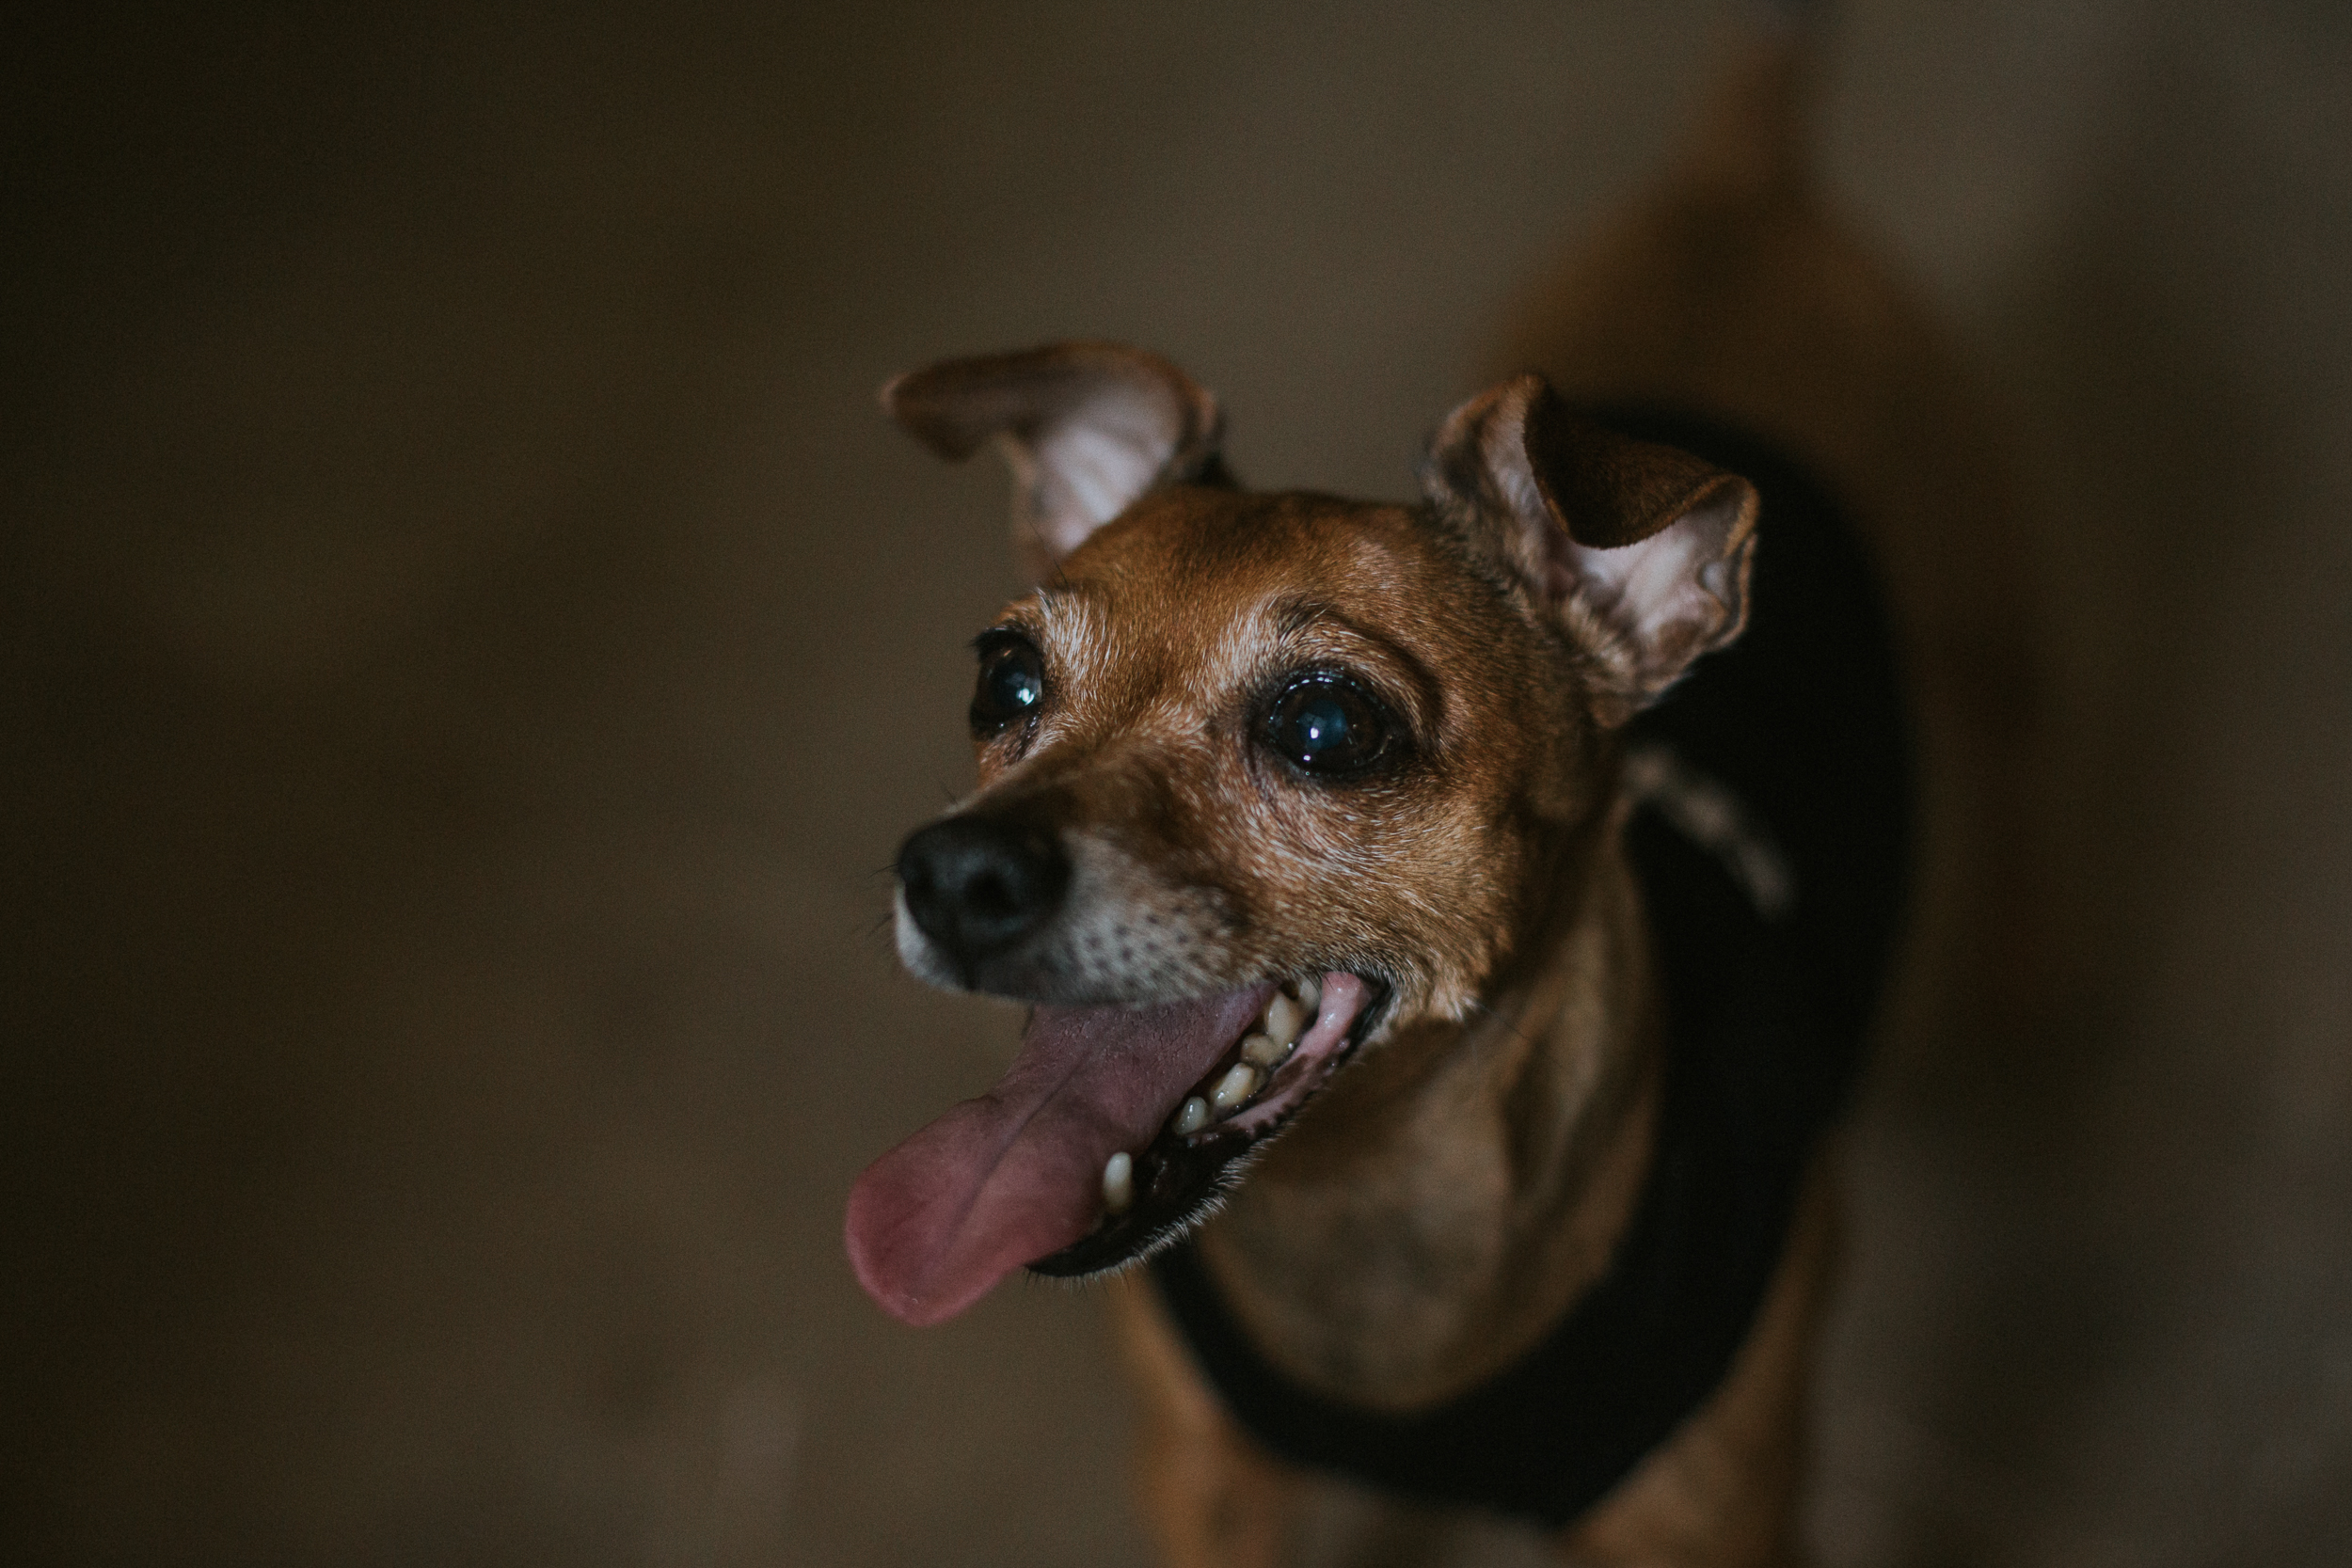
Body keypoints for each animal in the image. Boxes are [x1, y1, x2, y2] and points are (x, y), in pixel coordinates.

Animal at [842, 12, 2023, 1560]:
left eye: (1327, 726)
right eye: (1005, 681)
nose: (952, 871)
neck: (1363, 1233)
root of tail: (1742, 184)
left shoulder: (1710, 1522)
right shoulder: (1206, 1479)